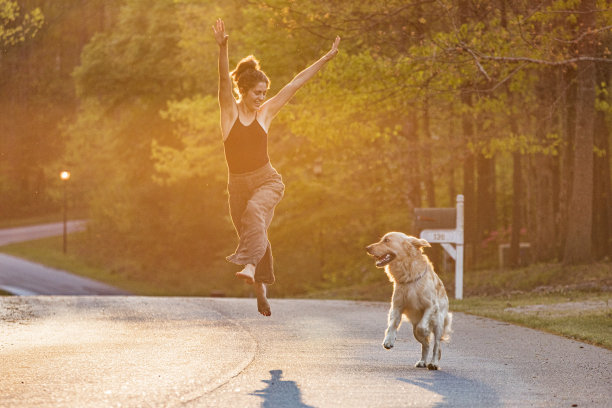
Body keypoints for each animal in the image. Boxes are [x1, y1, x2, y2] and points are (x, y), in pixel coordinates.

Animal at [366, 233, 452, 370]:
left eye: (387, 240)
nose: (367, 248)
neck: (408, 273)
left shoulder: (431, 306)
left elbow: (422, 327)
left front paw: (425, 330)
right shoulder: (396, 306)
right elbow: (392, 325)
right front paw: (388, 340)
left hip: (439, 323)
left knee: (436, 345)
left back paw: (433, 363)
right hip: (415, 330)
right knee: (426, 345)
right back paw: (422, 361)